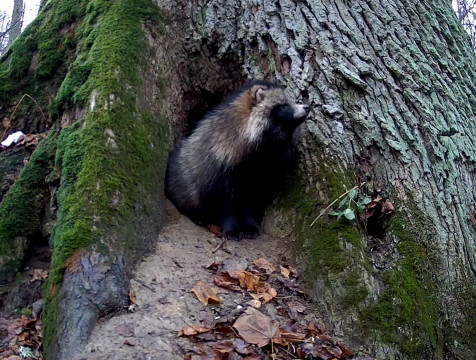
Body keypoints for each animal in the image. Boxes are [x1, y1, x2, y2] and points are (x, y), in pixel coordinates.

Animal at [165, 81, 310, 239]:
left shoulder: (262, 171)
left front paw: (248, 222)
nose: (307, 107)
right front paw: (230, 226)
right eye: (283, 106)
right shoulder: (219, 166)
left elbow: (250, 200)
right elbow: (223, 203)